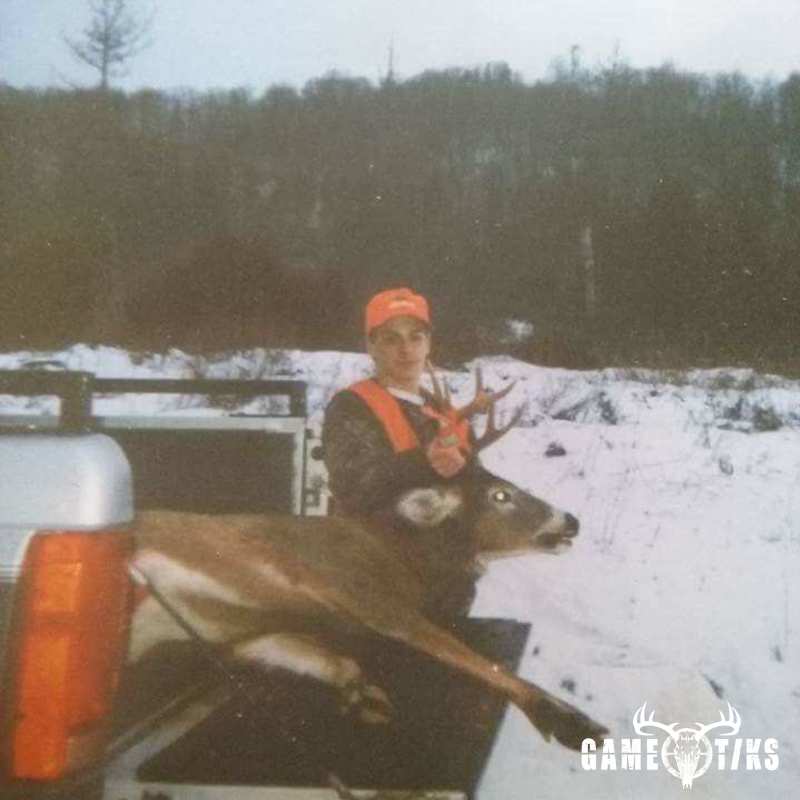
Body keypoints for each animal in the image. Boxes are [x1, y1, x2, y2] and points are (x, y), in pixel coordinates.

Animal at [127, 368, 608, 754]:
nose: (571, 520)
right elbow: (471, 657)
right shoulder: (366, 595)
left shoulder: (245, 636)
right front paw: (571, 721)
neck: (403, 559)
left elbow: (342, 663)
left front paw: (363, 698)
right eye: (501, 495)